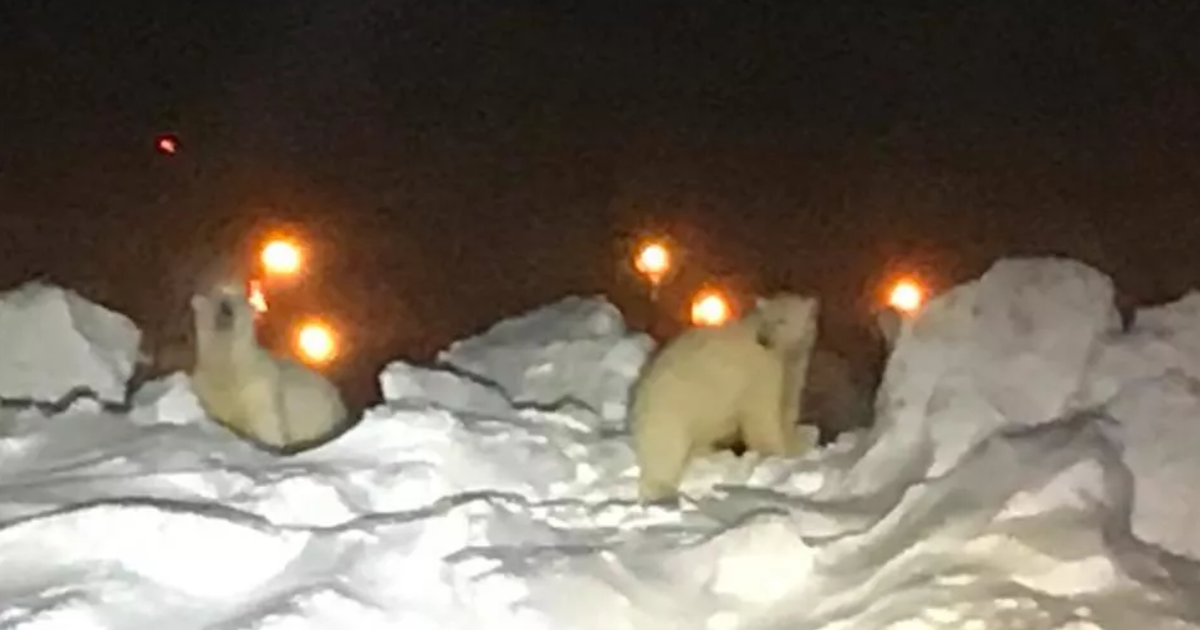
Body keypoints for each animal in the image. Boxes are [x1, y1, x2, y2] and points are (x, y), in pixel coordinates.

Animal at [186, 279, 348, 451]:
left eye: (238, 298)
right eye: (216, 296)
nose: (226, 307)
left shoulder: (259, 387)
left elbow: (269, 425)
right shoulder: (209, 391)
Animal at [628, 292, 816, 504]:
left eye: (781, 321)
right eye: (764, 321)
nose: (764, 340)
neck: (781, 354)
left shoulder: (792, 369)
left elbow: (787, 406)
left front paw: (796, 446)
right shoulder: (758, 374)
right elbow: (761, 415)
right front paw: (777, 455)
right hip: (675, 404)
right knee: (666, 446)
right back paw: (661, 490)